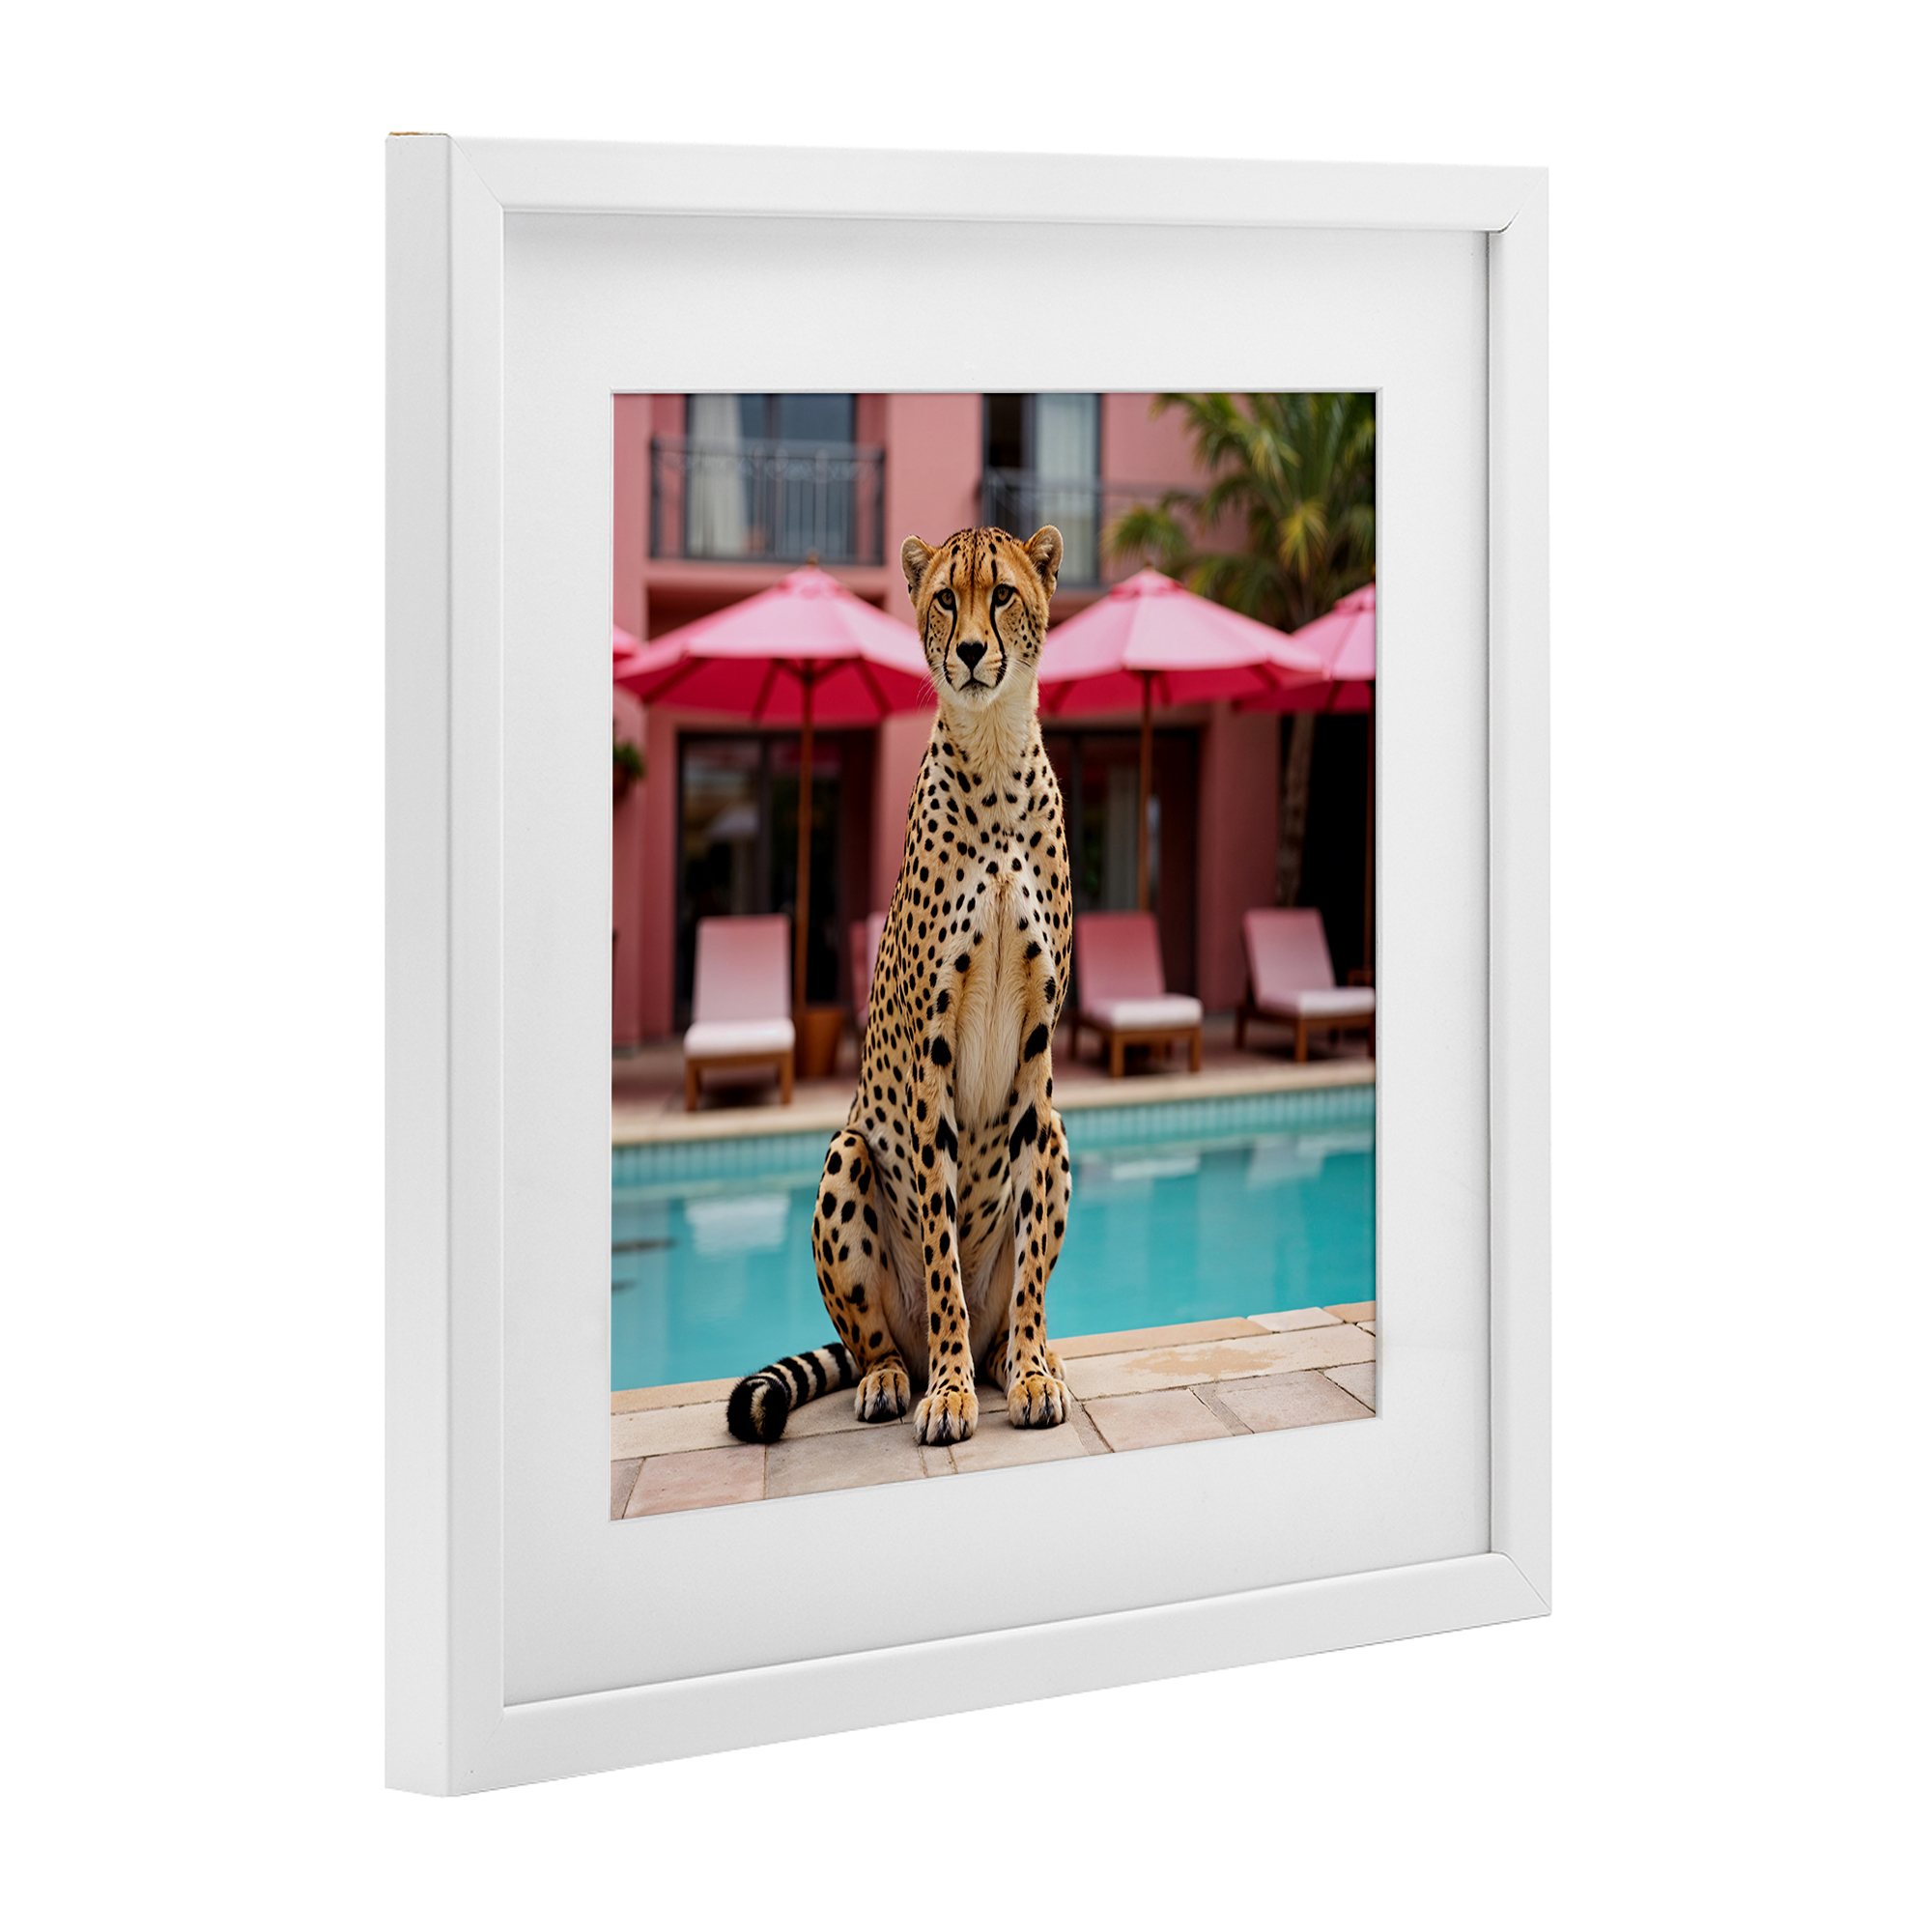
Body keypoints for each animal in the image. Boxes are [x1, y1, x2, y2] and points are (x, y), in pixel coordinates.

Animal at [726, 524, 1077, 1449]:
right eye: (946, 599)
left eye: (1001, 595)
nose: (970, 652)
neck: (993, 754)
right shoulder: (931, 1051)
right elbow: (942, 1253)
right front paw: (949, 1394)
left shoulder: (1039, 1054)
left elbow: (1029, 1257)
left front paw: (1032, 1372)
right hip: (847, 1153)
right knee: (876, 1339)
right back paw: (900, 1376)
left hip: (1060, 1133)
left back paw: (1018, 1356)